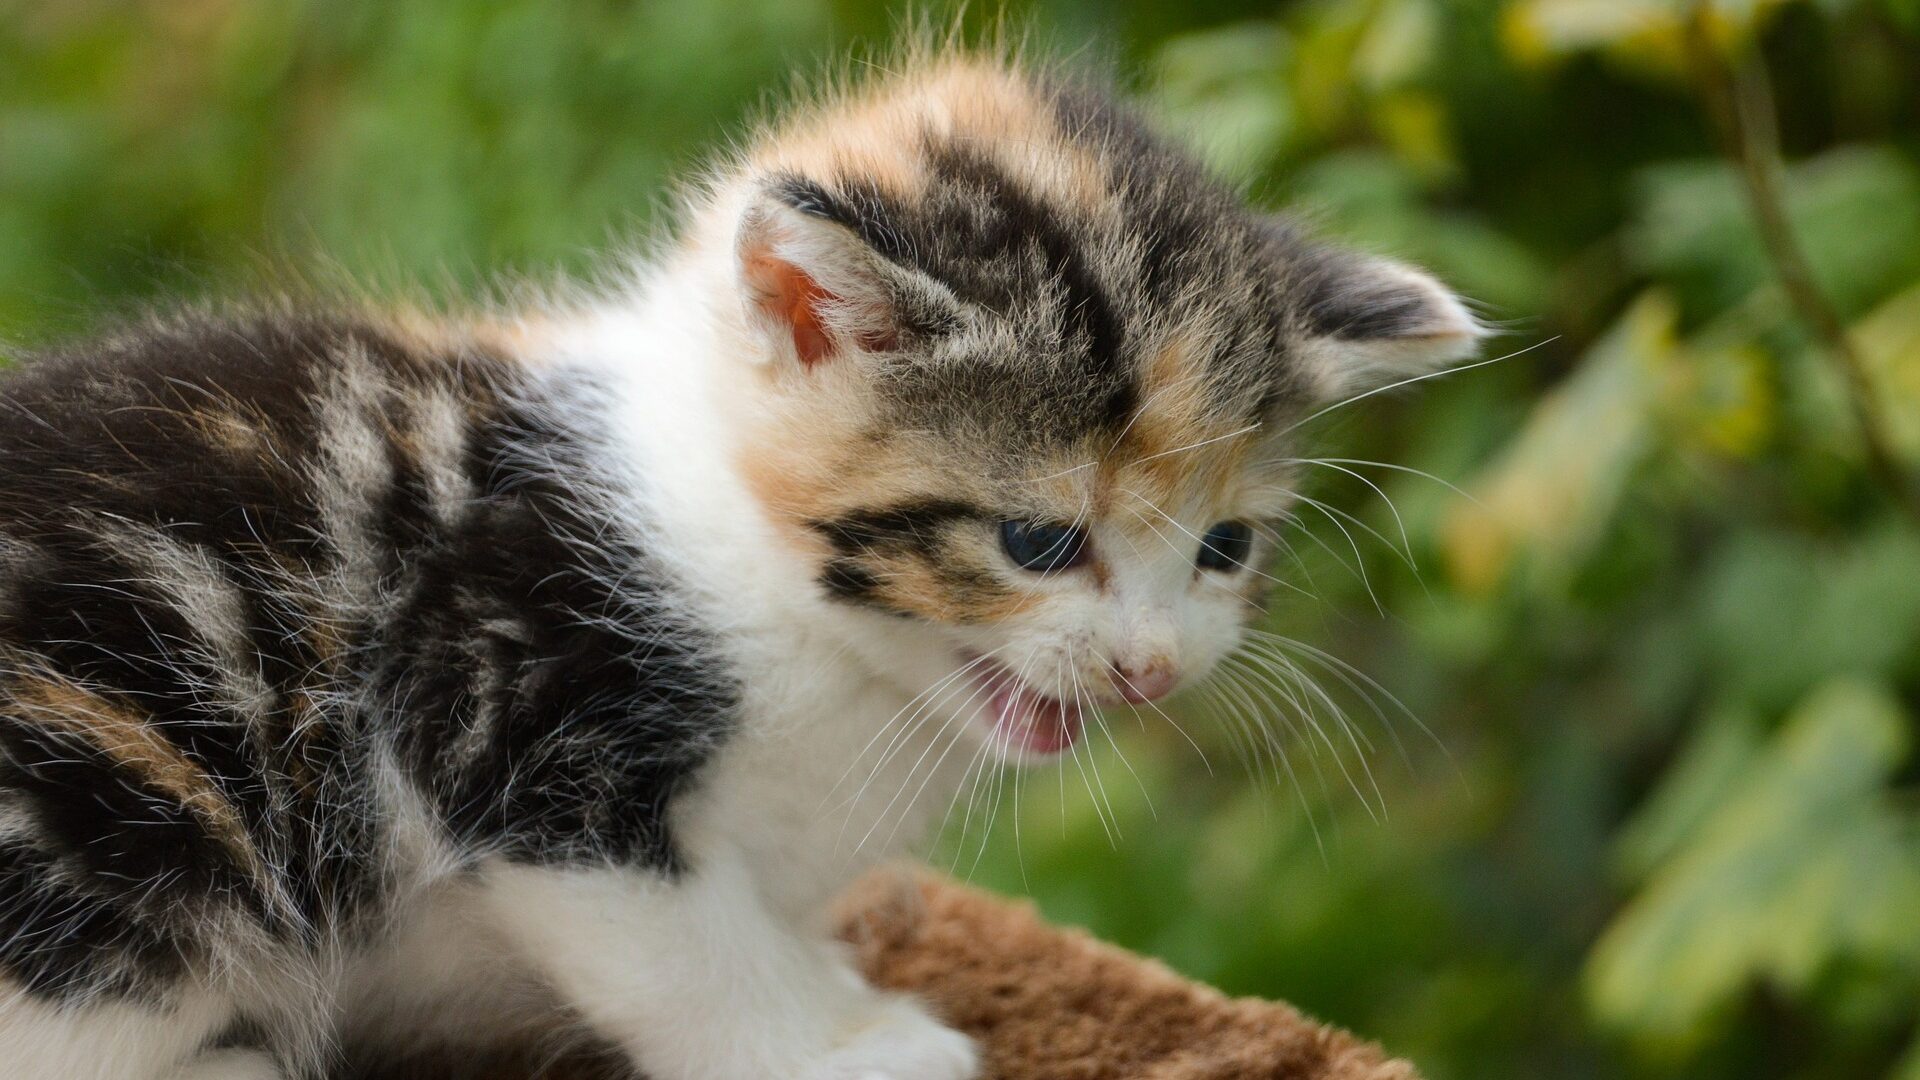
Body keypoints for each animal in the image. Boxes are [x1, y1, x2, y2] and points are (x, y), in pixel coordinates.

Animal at [0, 50, 1482, 1076]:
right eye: (1038, 542)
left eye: (1226, 547)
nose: (1152, 668)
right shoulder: (493, 683)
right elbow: (683, 948)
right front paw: (841, 1046)